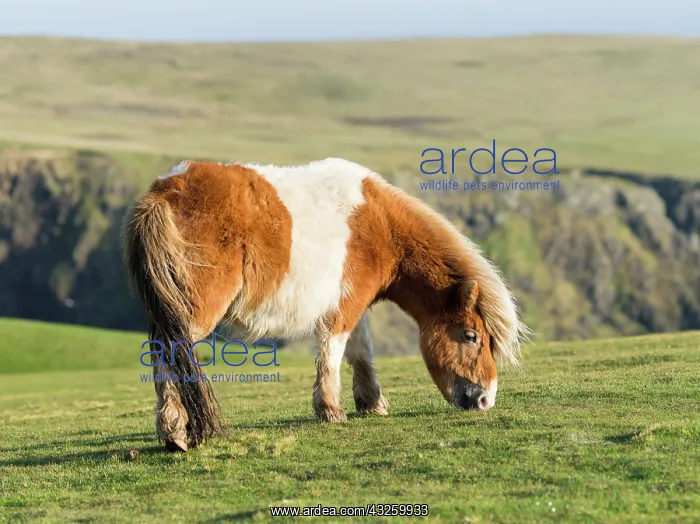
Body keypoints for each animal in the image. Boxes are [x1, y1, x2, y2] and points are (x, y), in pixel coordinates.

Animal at [122, 157, 528, 452]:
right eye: (472, 336)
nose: (485, 400)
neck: (379, 223)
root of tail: (165, 191)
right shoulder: (345, 306)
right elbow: (332, 351)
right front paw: (331, 410)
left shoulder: (356, 305)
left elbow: (361, 352)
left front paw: (371, 403)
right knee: (170, 355)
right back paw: (175, 433)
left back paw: (170, 431)